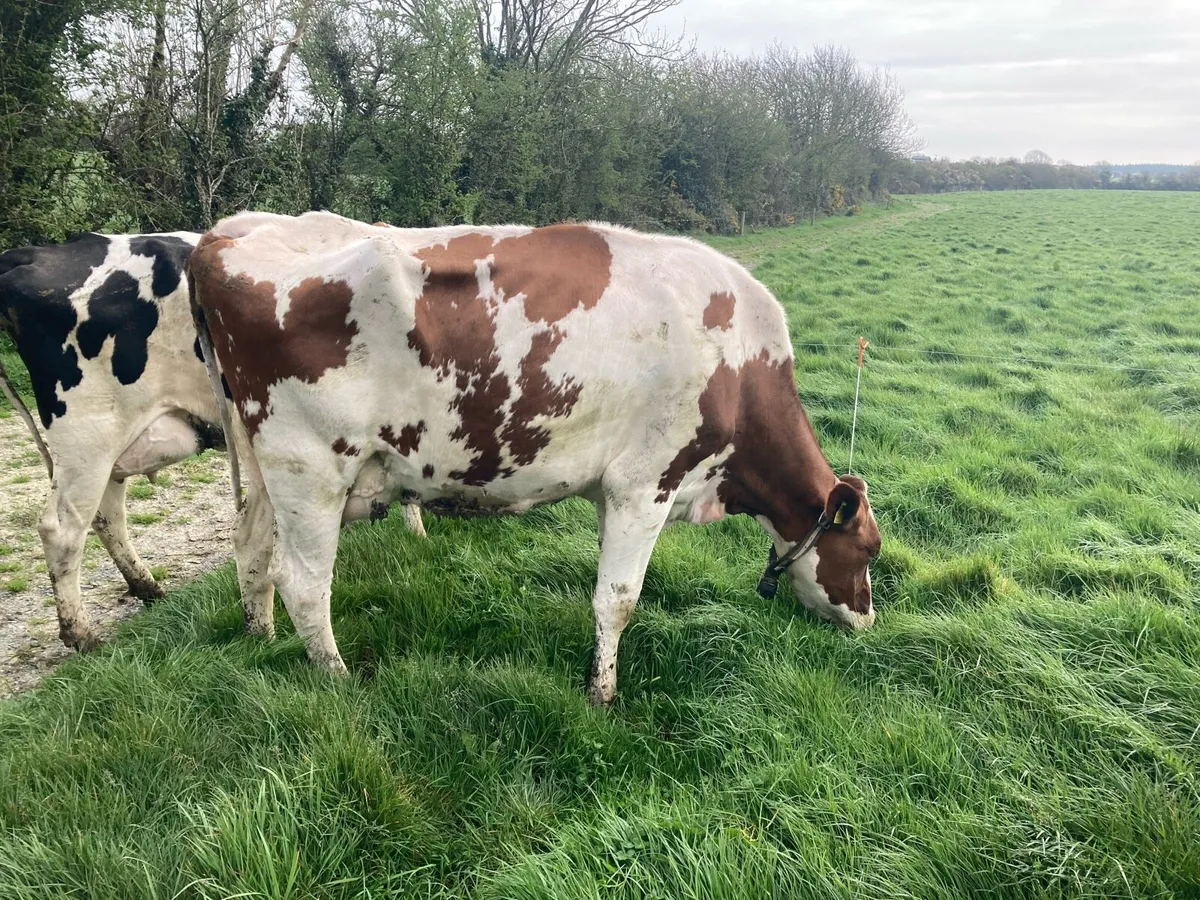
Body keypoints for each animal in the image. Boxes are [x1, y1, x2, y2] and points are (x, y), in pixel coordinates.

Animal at [0, 231, 425, 652]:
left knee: (106, 516)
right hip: (87, 436)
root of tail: (35, 253)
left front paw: (415, 532)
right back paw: (82, 634)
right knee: (62, 530)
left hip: (115, 445)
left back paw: (146, 587)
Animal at [188, 210, 881, 706]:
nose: (868, 619)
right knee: (304, 585)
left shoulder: (612, 493)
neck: (739, 363)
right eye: (869, 550)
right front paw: (602, 696)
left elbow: (605, 593)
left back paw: (258, 636)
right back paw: (337, 681)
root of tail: (216, 244)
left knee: (252, 549)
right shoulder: (645, 482)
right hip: (309, 472)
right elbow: (619, 599)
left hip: (264, 469)